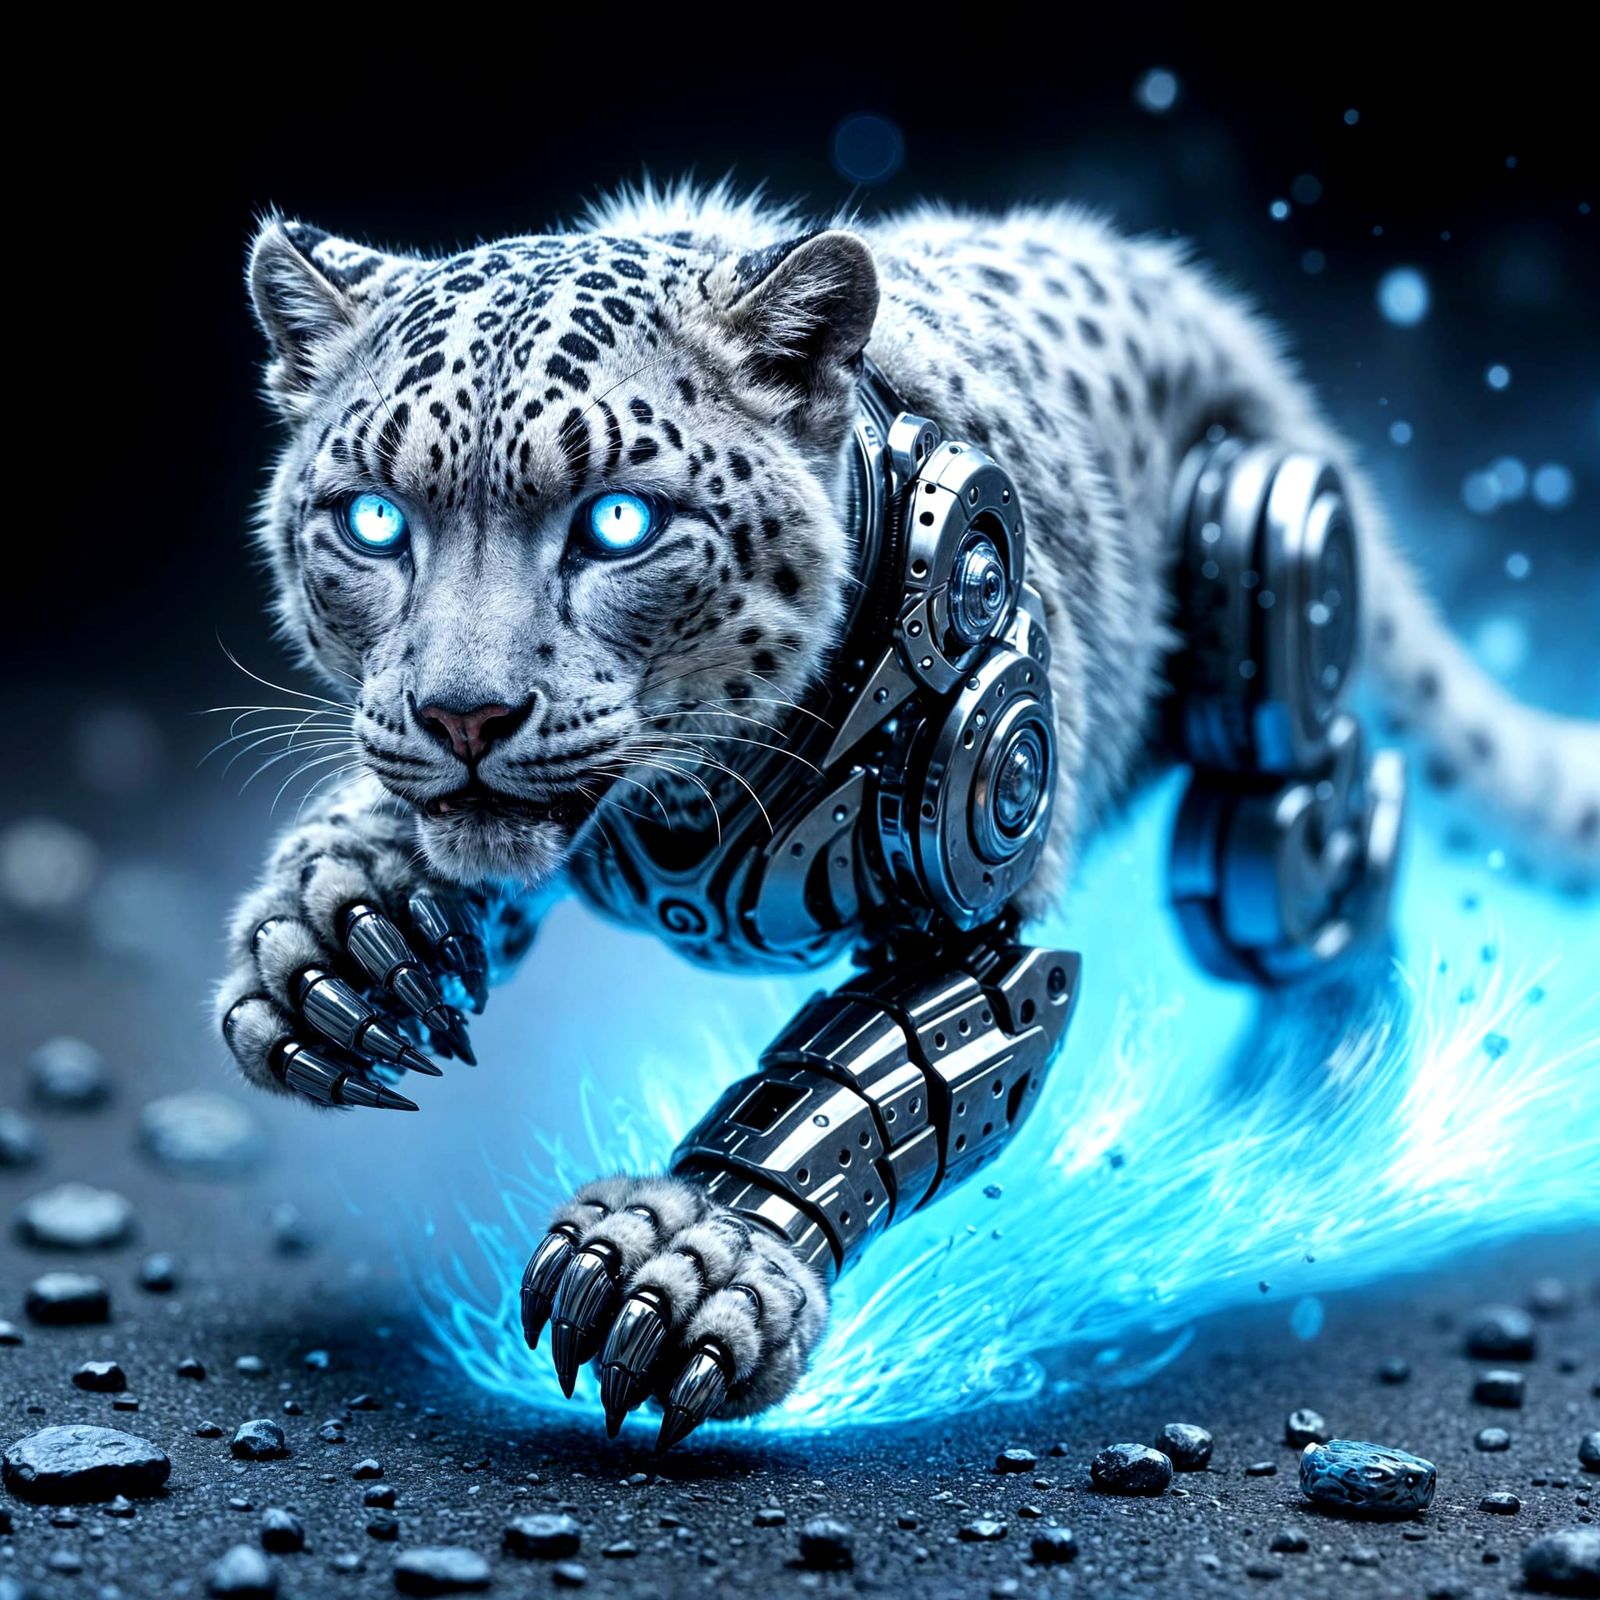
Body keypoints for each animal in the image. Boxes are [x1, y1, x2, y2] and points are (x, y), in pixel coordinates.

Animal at [217, 180, 1599, 1436]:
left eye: (617, 521)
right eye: (372, 519)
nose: (465, 714)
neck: (679, 810)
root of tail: (1178, 288)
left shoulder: (981, 901)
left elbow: (879, 1072)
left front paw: (689, 1262)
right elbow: (407, 841)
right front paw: (335, 949)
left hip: (1264, 567)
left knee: (1313, 840)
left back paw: (1313, 1101)